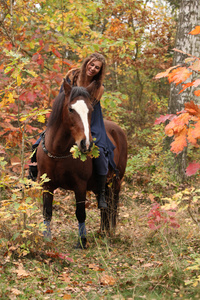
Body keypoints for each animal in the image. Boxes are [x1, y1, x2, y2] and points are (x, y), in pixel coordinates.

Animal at [36, 79, 126, 248]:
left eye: (91, 110)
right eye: (71, 109)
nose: (86, 144)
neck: (58, 152)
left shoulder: (80, 186)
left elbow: (80, 213)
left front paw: (82, 241)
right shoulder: (47, 185)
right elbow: (47, 212)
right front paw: (47, 239)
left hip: (116, 183)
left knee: (113, 206)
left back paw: (110, 233)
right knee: (105, 208)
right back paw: (102, 232)